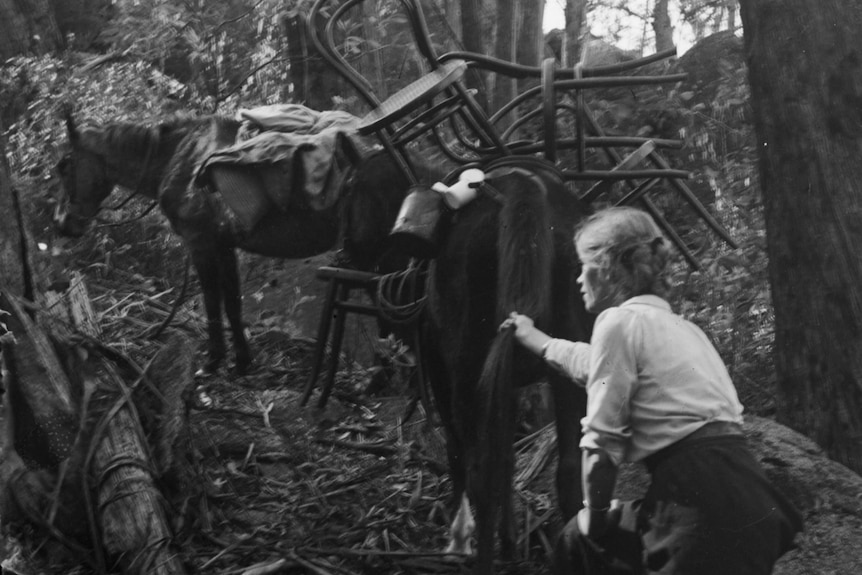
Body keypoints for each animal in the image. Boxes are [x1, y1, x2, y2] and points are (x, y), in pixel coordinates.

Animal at [54, 114, 418, 376]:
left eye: (65, 165)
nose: (63, 224)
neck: (178, 159)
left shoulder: (201, 244)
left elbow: (212, 302)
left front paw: (213, 361)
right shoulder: (225, 247)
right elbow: (233, 305)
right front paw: (242, 361)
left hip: (372, 258)